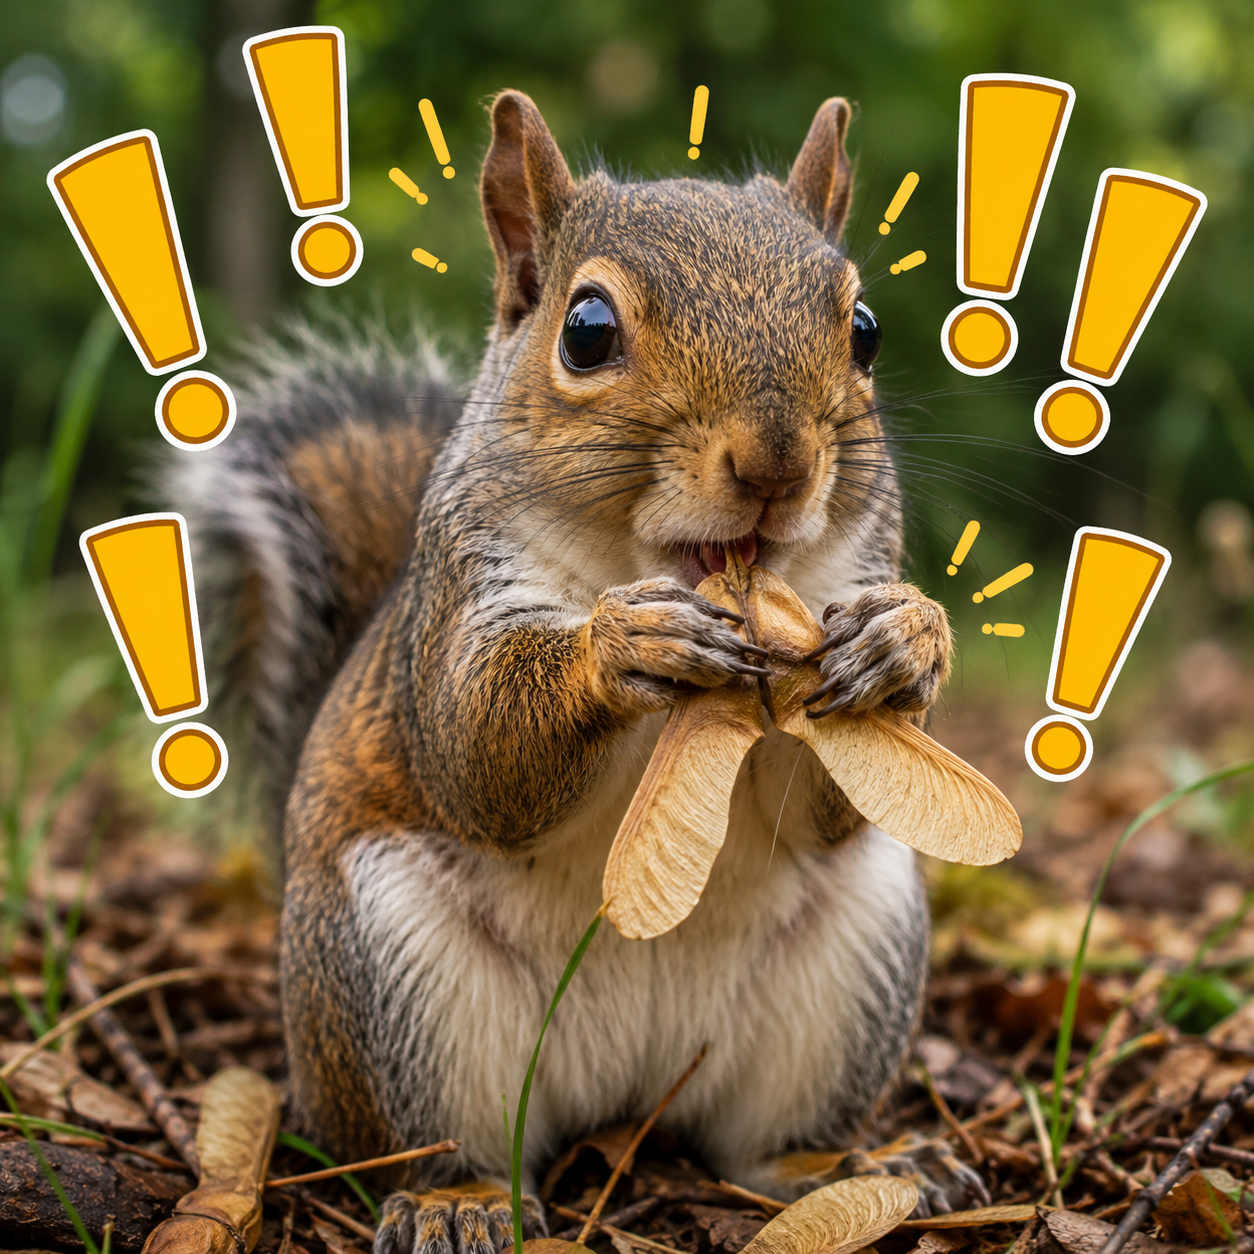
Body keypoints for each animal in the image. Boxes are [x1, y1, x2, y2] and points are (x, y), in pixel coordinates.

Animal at [167, 90, 989, 1254]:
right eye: (587, 331)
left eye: (863, 331)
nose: (777, 463)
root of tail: (629, 1090)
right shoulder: (462, 602)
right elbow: (480, 753)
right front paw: (624, 644)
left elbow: (834, 800)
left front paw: (904, 641)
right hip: (395, 983)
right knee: (435, 1143)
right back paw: (454, 1203)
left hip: (850, 970)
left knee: (758, 1144)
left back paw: (857, 1165)